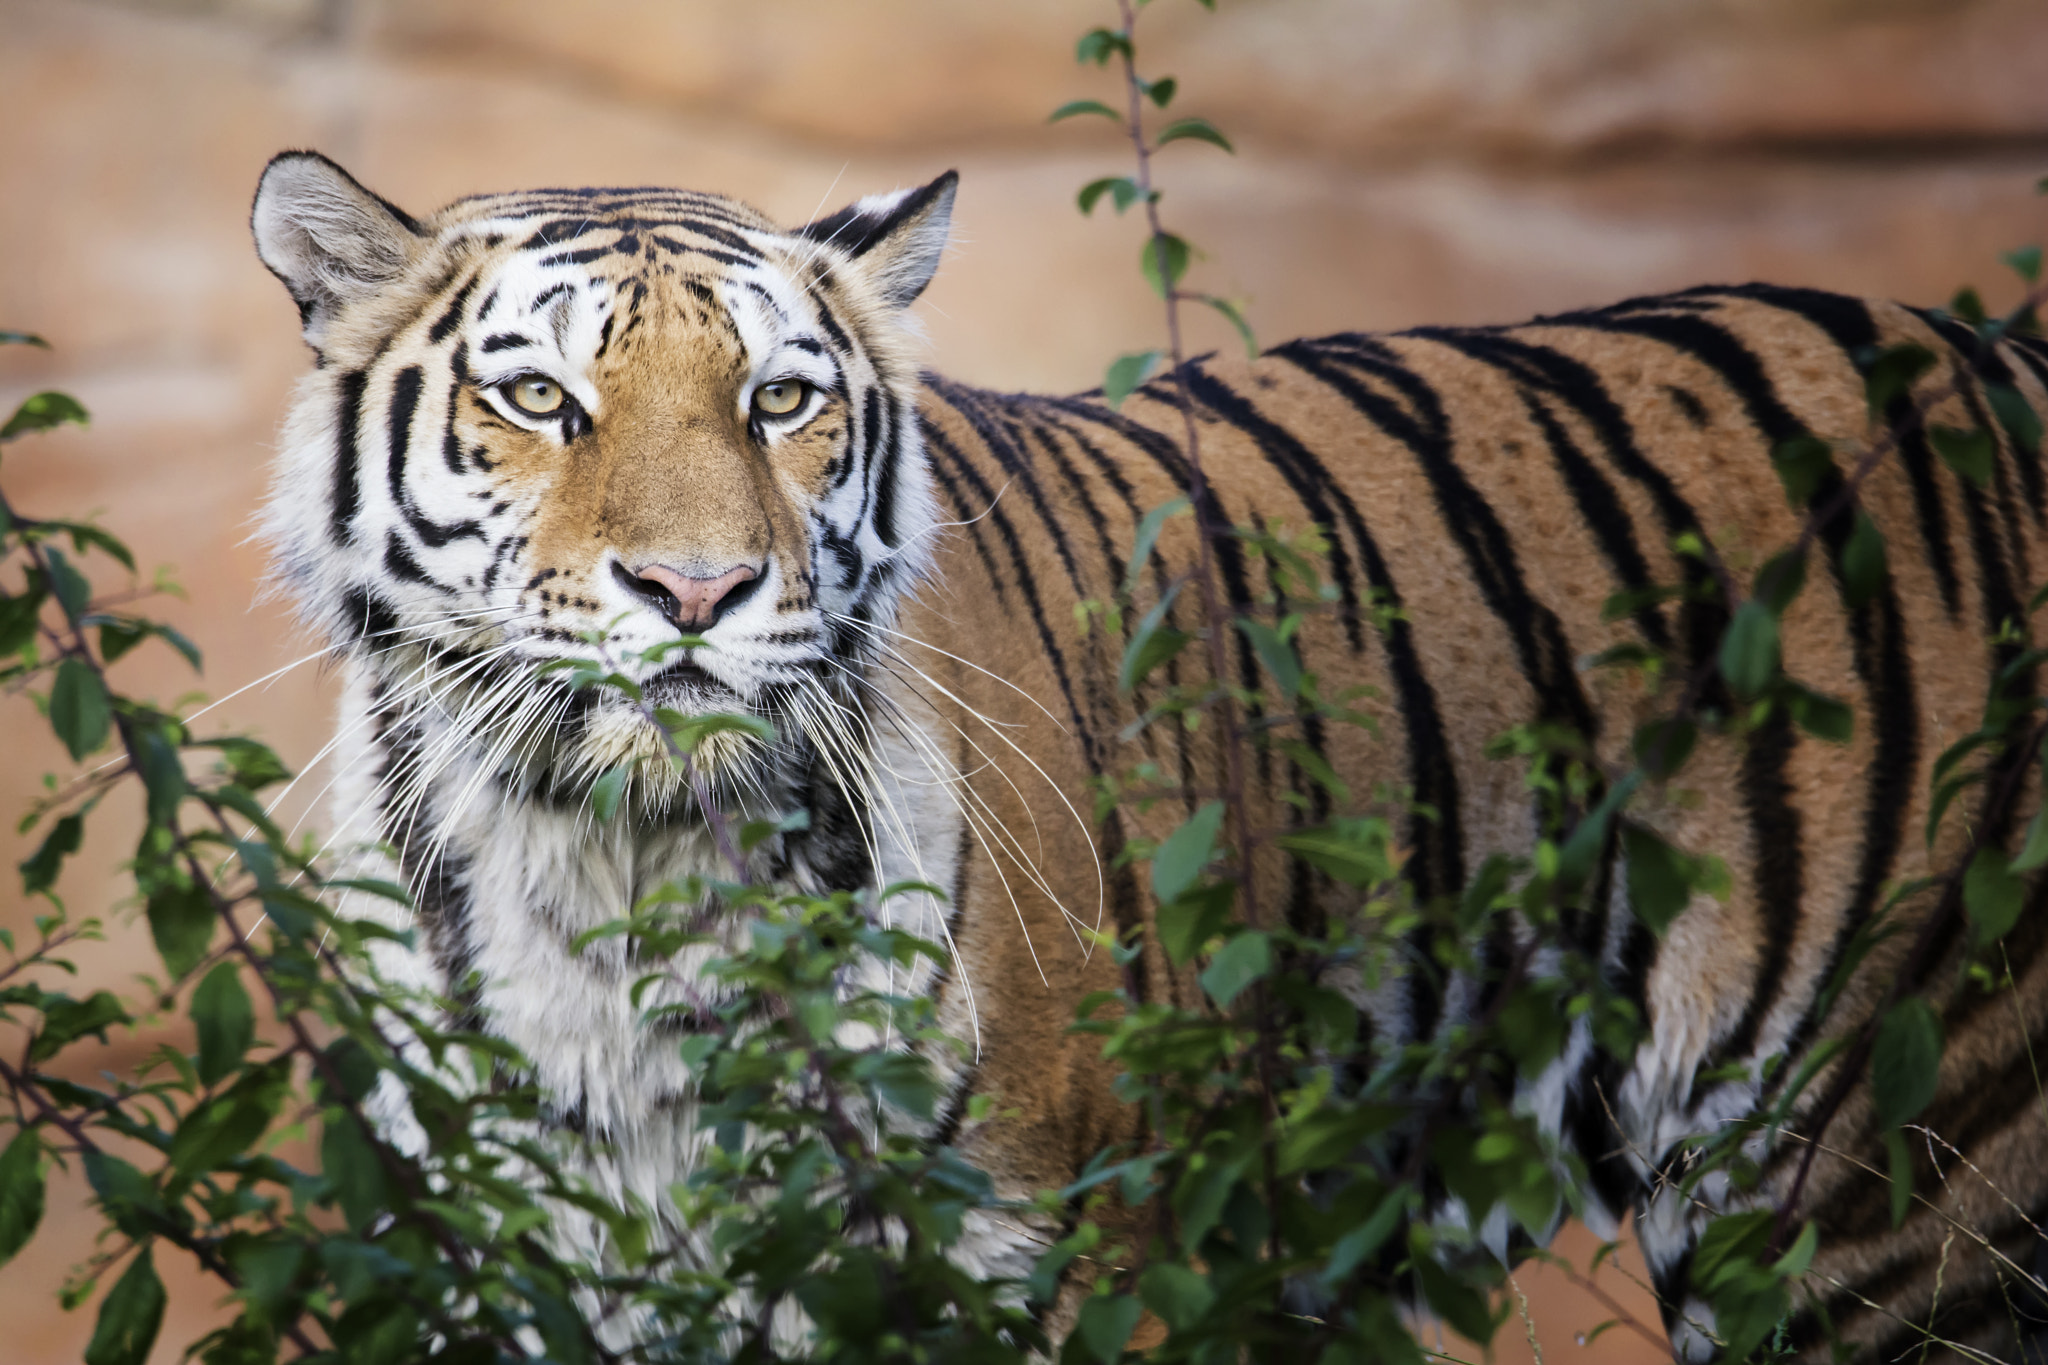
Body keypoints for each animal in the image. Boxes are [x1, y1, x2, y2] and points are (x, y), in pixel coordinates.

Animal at [251, 144, 2048, 1358]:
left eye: (778, 403)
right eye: (540, 401)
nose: (697, 591)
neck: (610, 851)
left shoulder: (1080, 1254)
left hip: (1884, 1177)